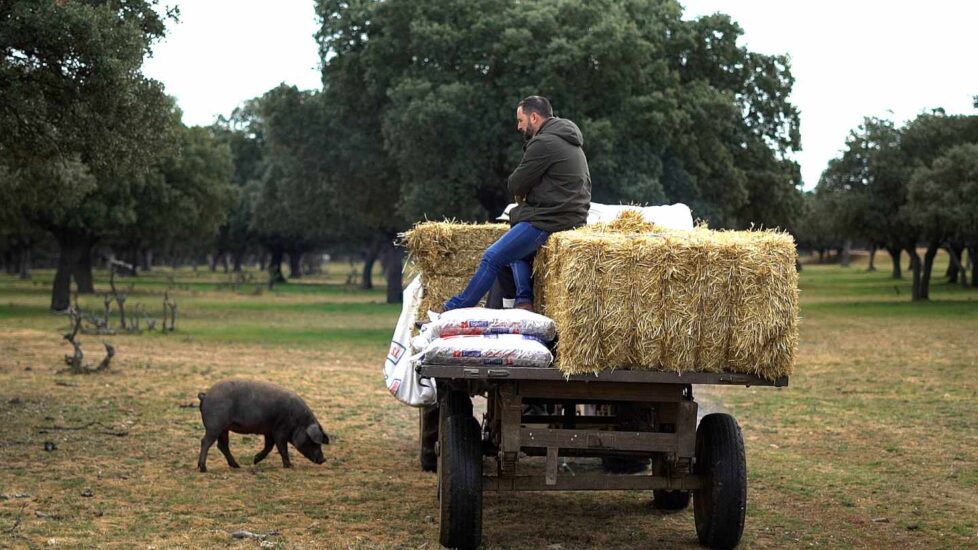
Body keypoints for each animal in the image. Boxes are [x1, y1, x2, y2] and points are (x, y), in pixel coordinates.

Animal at [196, 380, 330, 474]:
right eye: (314, 442)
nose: (323, 459)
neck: (298, 422)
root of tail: (206, 395)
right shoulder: (280, 432)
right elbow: (282, 449)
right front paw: (290, 466)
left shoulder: (269, 432)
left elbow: (269, 447)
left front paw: (255, 460)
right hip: (214, 426)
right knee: (205, 442)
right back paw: (203, 468)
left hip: (224, 429)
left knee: (222, 445)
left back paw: (237, 466)